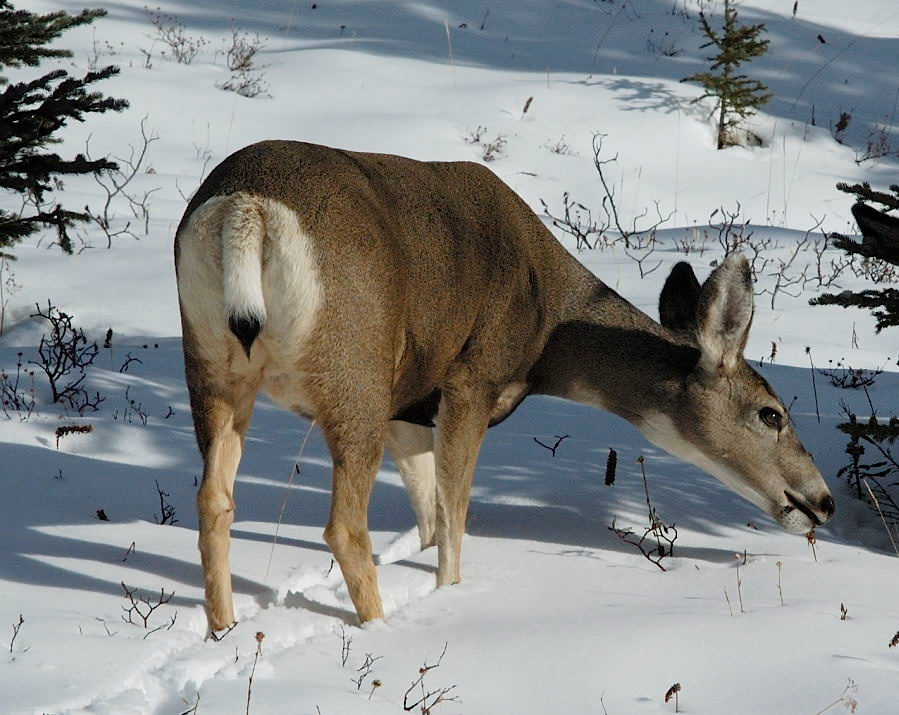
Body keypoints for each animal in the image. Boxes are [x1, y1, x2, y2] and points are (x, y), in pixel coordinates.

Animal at [174, 140, 835, 636]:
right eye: (771, 414)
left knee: (214, 499)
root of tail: (245, 210)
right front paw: (450, 593)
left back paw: (224, 630)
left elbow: (427, 509)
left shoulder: (408, 400)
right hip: (352, 369)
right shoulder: (472, 377)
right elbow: (454, 513)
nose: (822, 502)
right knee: (342, 525)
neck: (549, 327)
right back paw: (381, 628)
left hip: (211, 363)